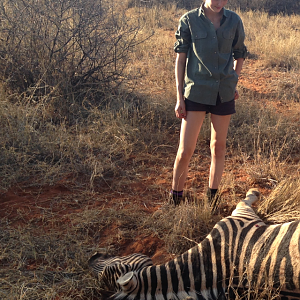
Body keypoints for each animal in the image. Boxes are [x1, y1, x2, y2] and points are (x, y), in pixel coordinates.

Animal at [90, 190, 300, 300]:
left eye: (111, 270)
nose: (92, 257)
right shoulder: (239, 219)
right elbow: (245, 200)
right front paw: (254, 192)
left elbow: (245, 199)